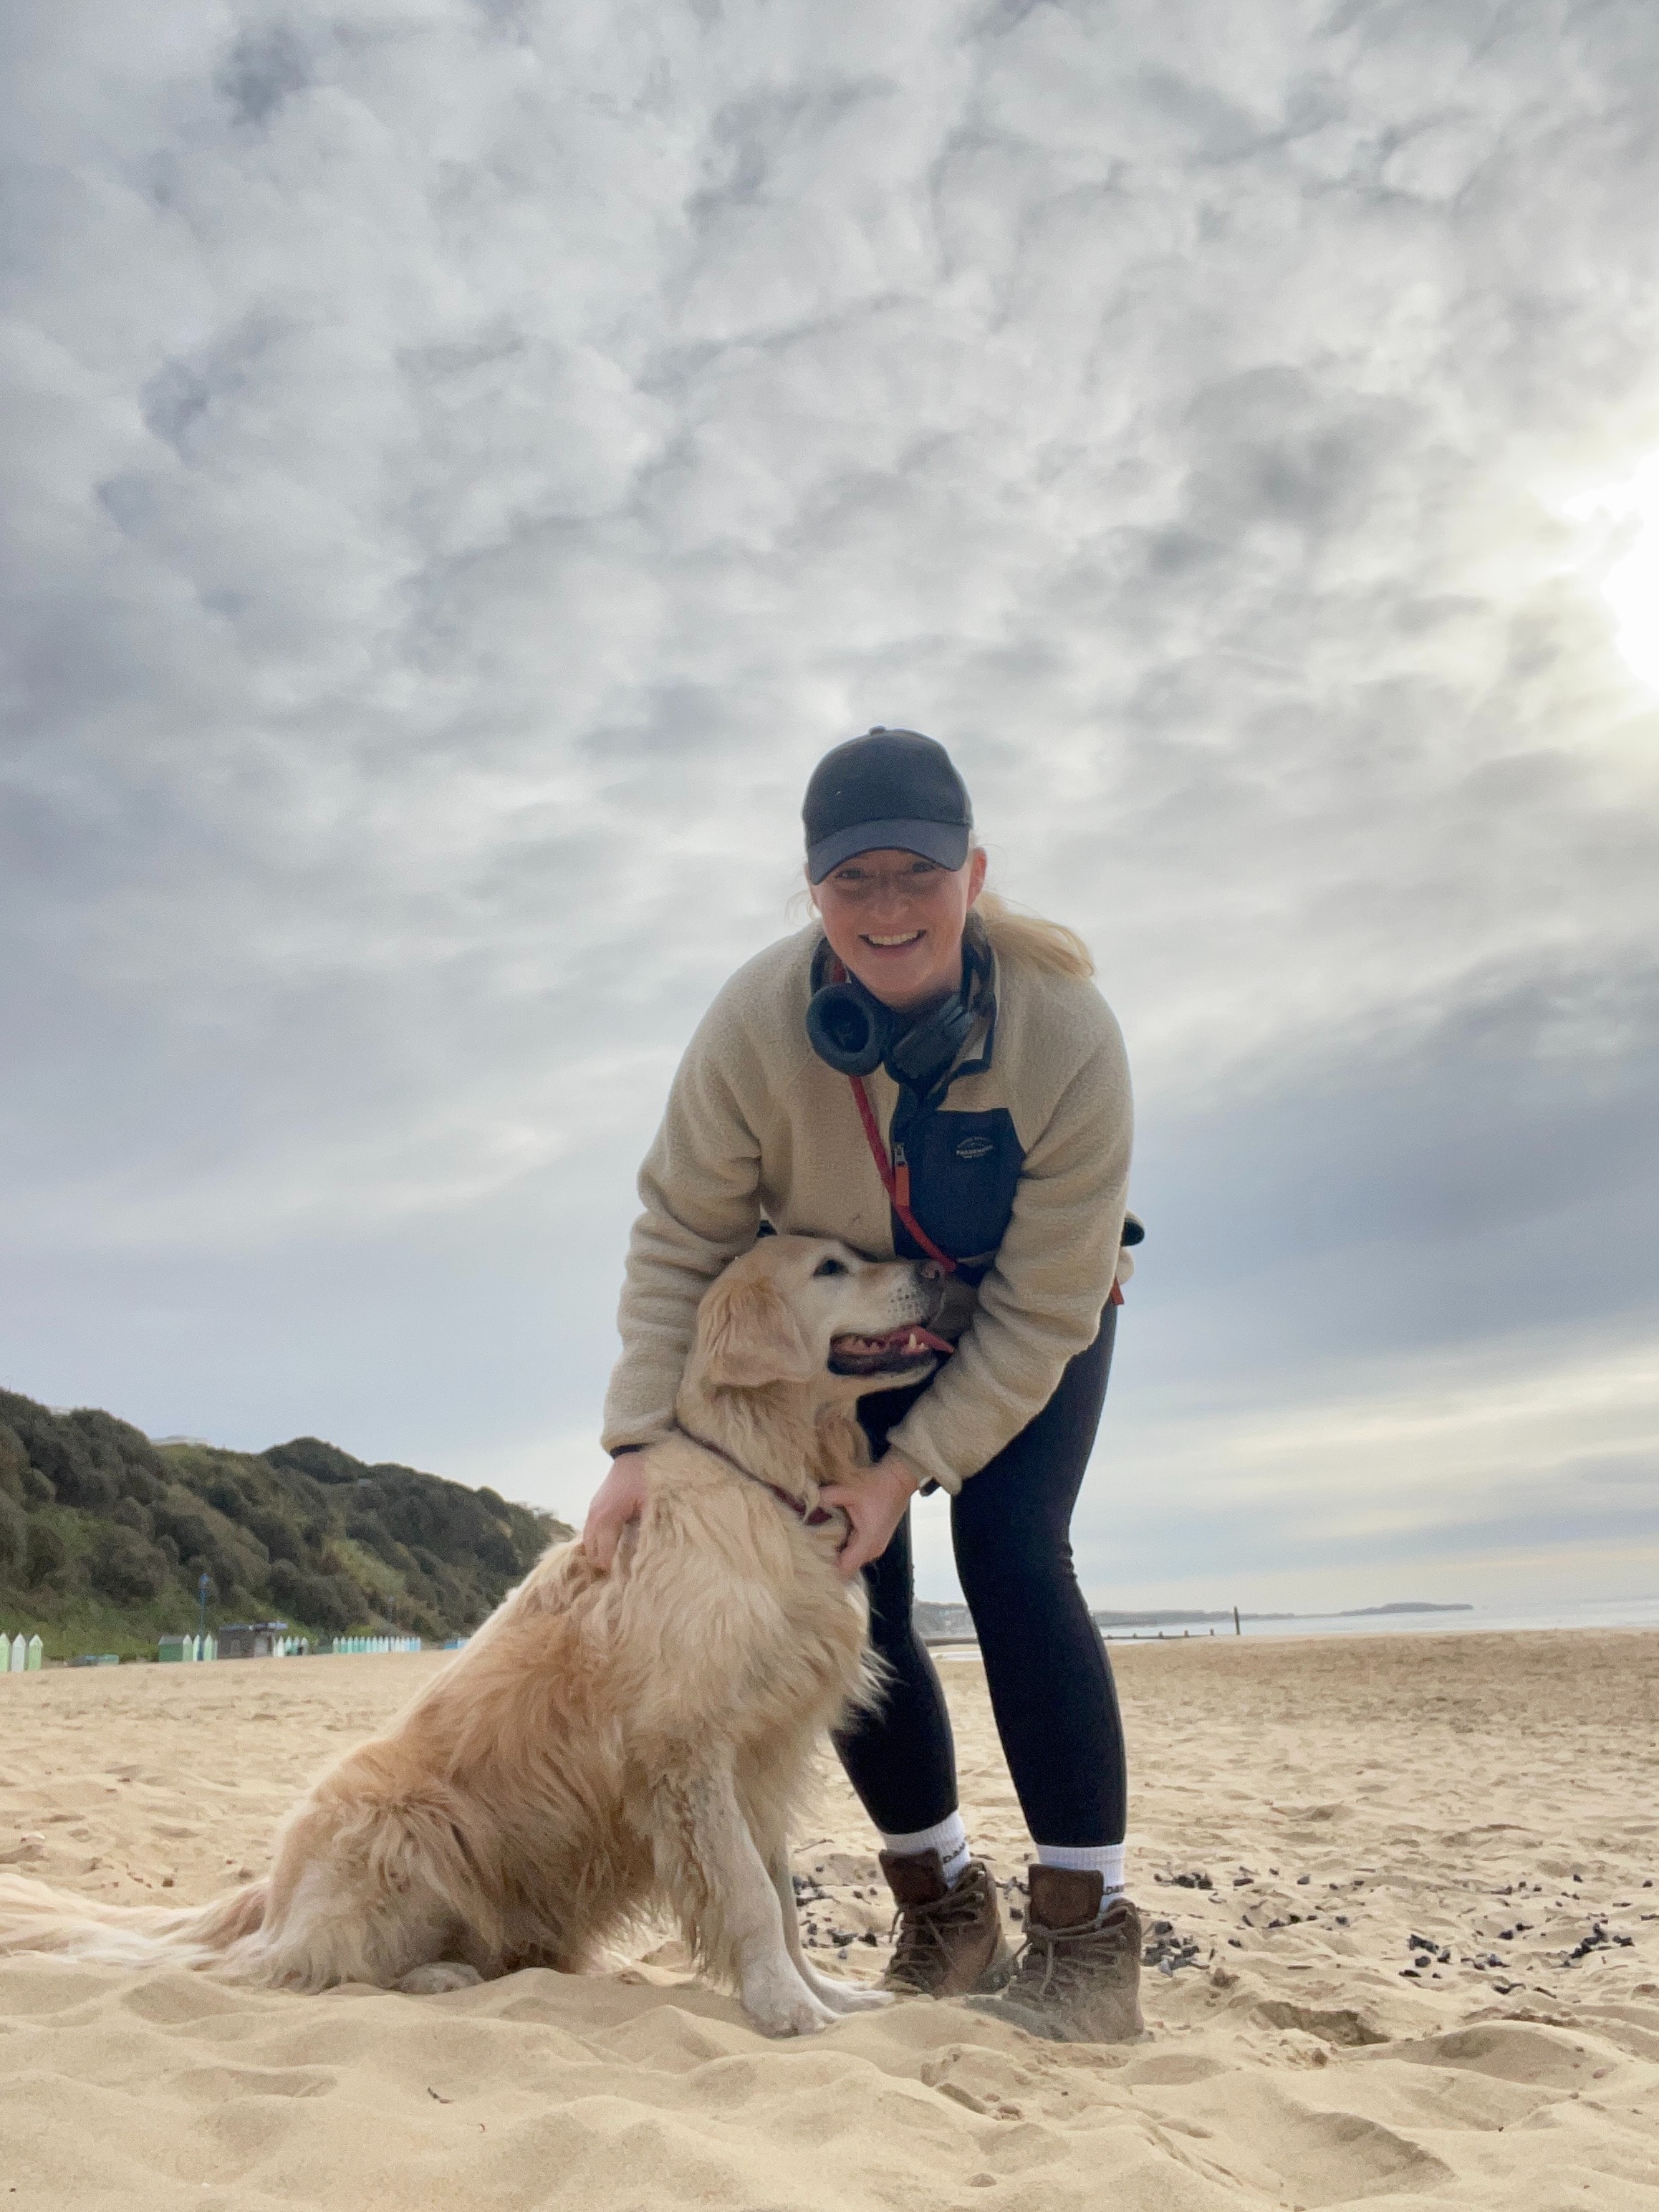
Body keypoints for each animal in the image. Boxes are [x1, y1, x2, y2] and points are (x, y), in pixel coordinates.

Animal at [0, 1236, 952, 2036]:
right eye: (830, 1266)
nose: (937, 1266)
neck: (767, 1478)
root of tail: (270, 1895)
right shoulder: (687, 1748)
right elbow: (752, 1894)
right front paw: (790, 2011)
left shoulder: (762, 1755)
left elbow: (784, 1901)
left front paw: (828, 1994)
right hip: (408, 1825)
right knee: (300, 1966)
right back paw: (435, 1976)